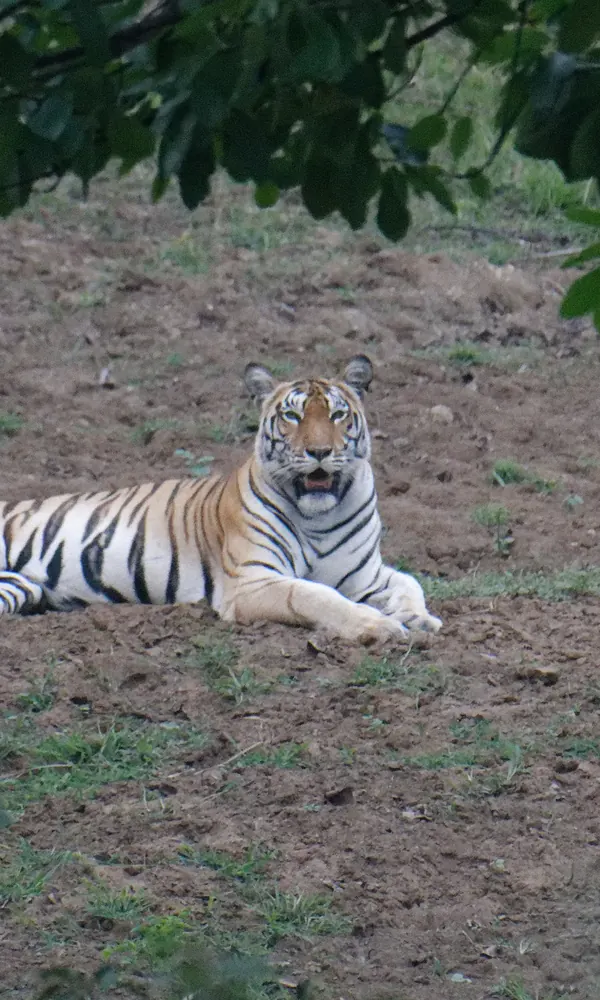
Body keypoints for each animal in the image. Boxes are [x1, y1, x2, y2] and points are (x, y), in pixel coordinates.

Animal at [0, 355, 441, 644]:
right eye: (293, 416)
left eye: (337, 415)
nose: (318, 451)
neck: (320, 518)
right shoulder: (252, 581)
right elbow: (314, 595)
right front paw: (378, 627)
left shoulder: (364, 575)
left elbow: (409, 581)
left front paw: (419, 619)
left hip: (19, 587)